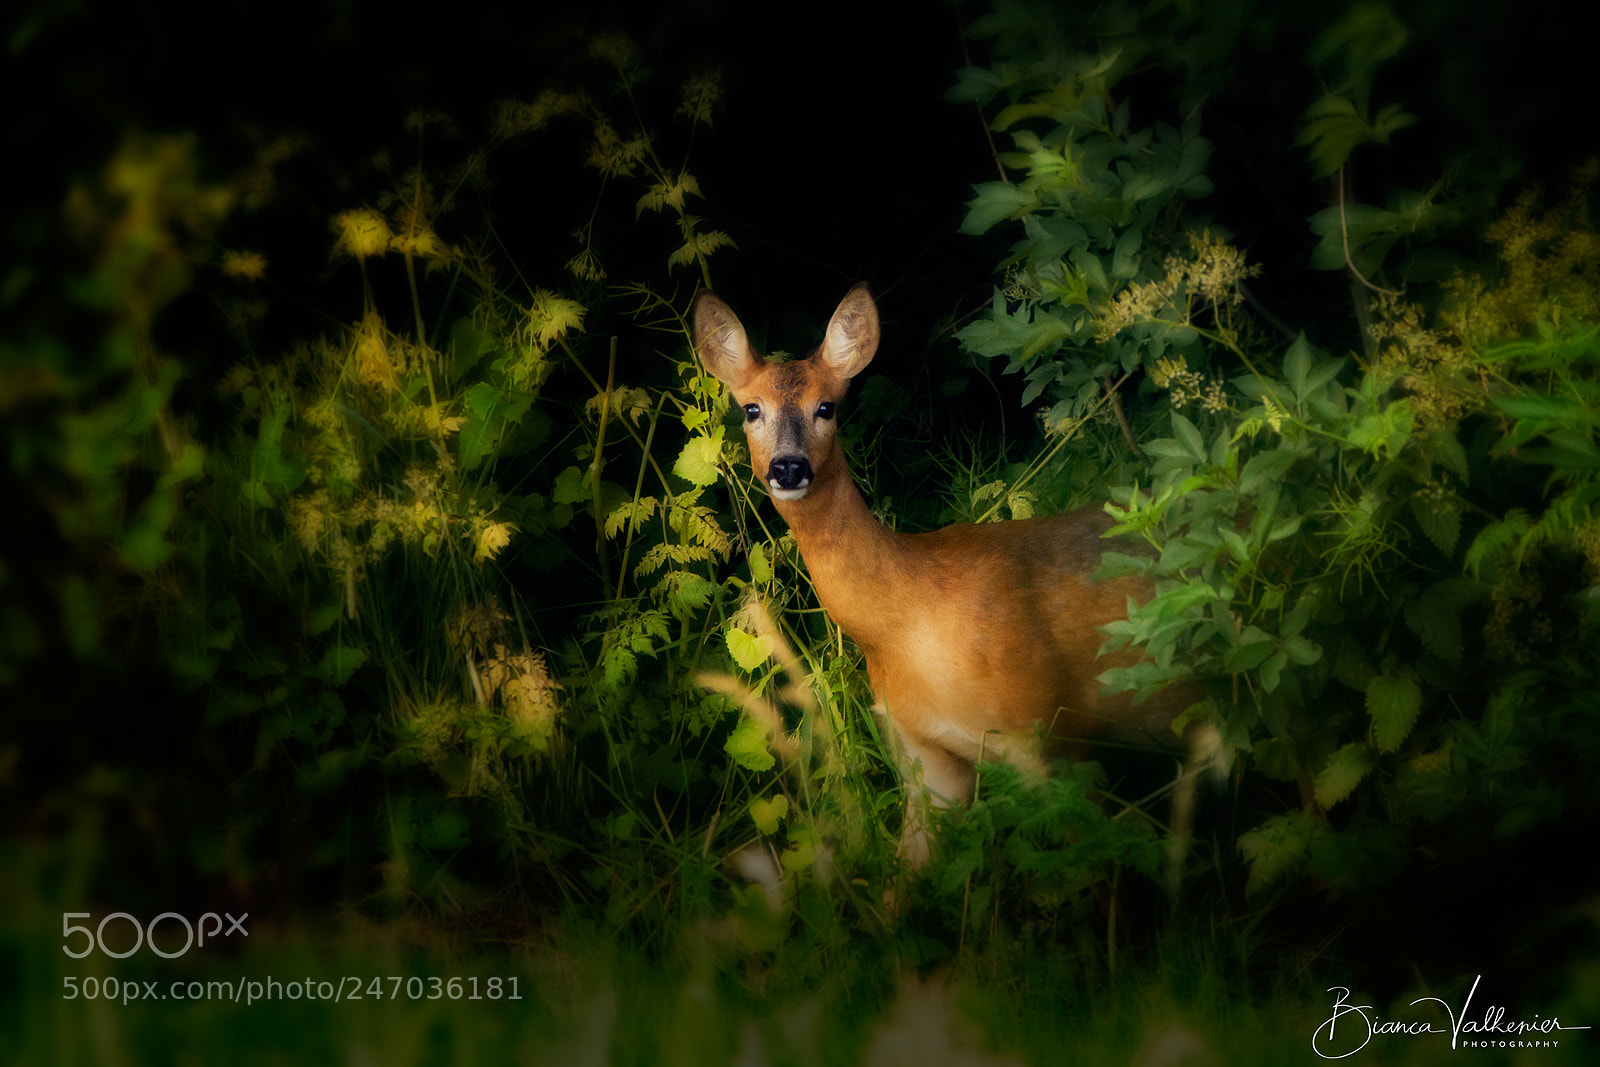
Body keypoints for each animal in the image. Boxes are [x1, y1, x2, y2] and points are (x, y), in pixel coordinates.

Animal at [694, 282, 1208, 869]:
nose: (788, 467)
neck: (908, 622)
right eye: (751, 409)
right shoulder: (924, 754)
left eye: (826, 407)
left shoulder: (1047, 732)